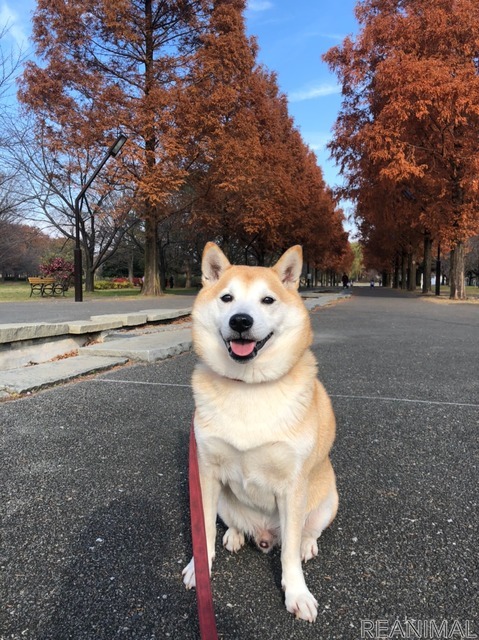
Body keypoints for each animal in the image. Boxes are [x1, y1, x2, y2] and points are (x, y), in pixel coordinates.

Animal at [182, 242, 340, 624]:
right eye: (227, 297)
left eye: (267, 300)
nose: (241, 320)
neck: (248, 387)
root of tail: (266, 535)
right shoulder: (206, 473)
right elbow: (204, 530)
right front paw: (200, 568)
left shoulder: (292, 485)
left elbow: (289, 553)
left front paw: (297, 593)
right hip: (224, 497)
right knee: (233, 523)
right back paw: (236, 535)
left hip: (328, 497)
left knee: (305, 533)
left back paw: (307, 545)